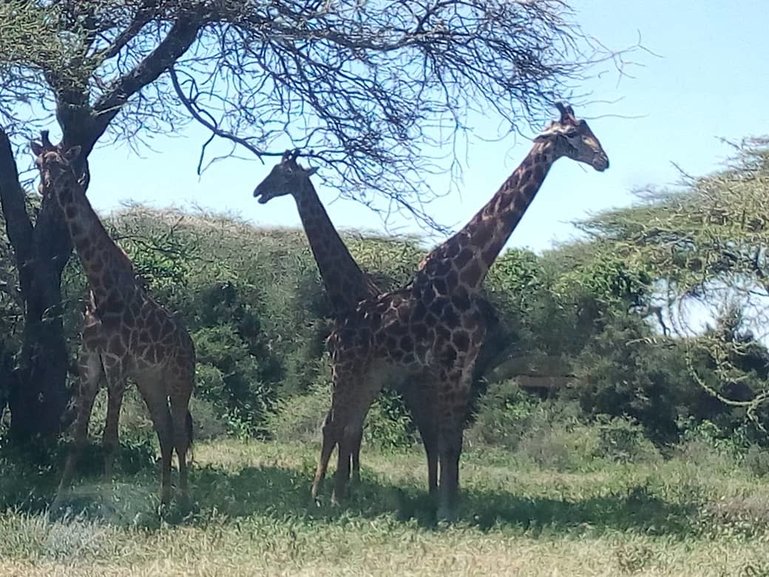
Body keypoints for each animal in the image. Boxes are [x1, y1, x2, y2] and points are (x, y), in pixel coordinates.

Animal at [30, 135, 195, 504]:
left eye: (62, 164)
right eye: (39, 163)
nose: (46, 188)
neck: (101, 288)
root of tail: (190, 344)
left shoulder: (117, 364)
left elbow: (108, 440)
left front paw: (107, 504)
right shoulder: (90, 361)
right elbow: (77, 439)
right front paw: (58, 502)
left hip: (180, 381)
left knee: (179, 433)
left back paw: (184, 500)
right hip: (150, 382)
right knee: (164, 431)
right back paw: (164, 500)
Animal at [254, 151, 438, 492]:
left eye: (286, 174)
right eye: (272, 168)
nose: (258, 191)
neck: (347, 296)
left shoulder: (350, 370)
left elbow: (342, 428)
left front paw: (329, 487)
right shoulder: (350, 371)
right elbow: (348, 429)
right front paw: (348, 483)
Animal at [310, 103, 608, 516]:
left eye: (588, 129)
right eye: (572, 135)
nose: (604, 160)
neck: (467, 275)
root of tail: (337, 332)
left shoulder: (464, 369)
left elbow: (453, 441)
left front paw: (451, 507)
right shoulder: (448, 367)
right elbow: (445, 439)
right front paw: (444, 511)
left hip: (369, 376)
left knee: (349, 425)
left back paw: (337, 498)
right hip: (347, 370)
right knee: (334, 424)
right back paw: (318, 496)